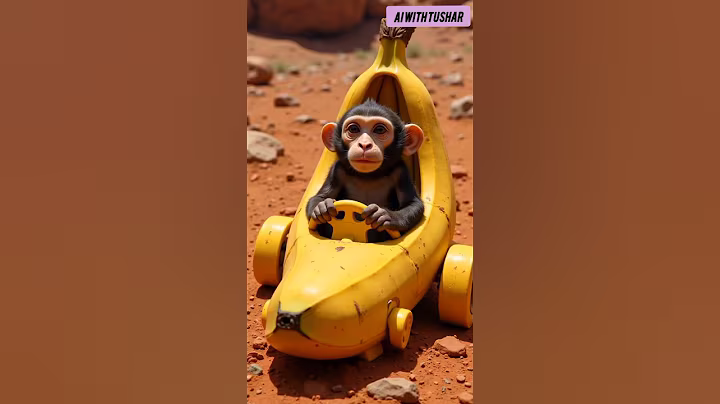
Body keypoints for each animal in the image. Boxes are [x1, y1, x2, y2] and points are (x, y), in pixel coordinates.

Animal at [306, 99, 425, 242]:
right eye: (353, 129)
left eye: (379, 129)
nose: (364, 144)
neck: (368, 176)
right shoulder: (337, 170)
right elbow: (319, 197)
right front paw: (322, 207)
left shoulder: (401, 172)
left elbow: (413, 203)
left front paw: (385, 215)